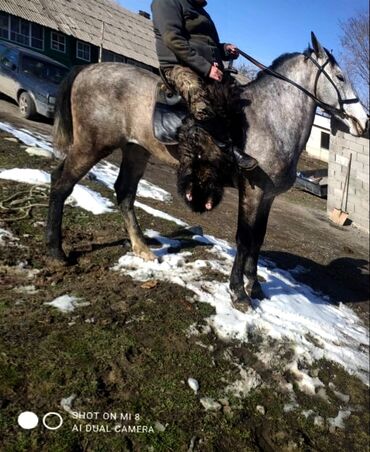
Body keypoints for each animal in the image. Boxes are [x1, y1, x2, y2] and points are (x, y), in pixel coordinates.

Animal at [47, 34, 368, 310]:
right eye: (340, 77)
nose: (363, 121)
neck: (271, 118)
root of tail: (87, 69)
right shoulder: (252, 192)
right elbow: (244, 239)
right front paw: (239, 293)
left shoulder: (268, 198)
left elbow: (258, 239)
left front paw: (255, 287)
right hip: (92, 146)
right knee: (61, 184)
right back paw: (56, 253)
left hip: (135, 151)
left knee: (124, 192)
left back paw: (142, 248)